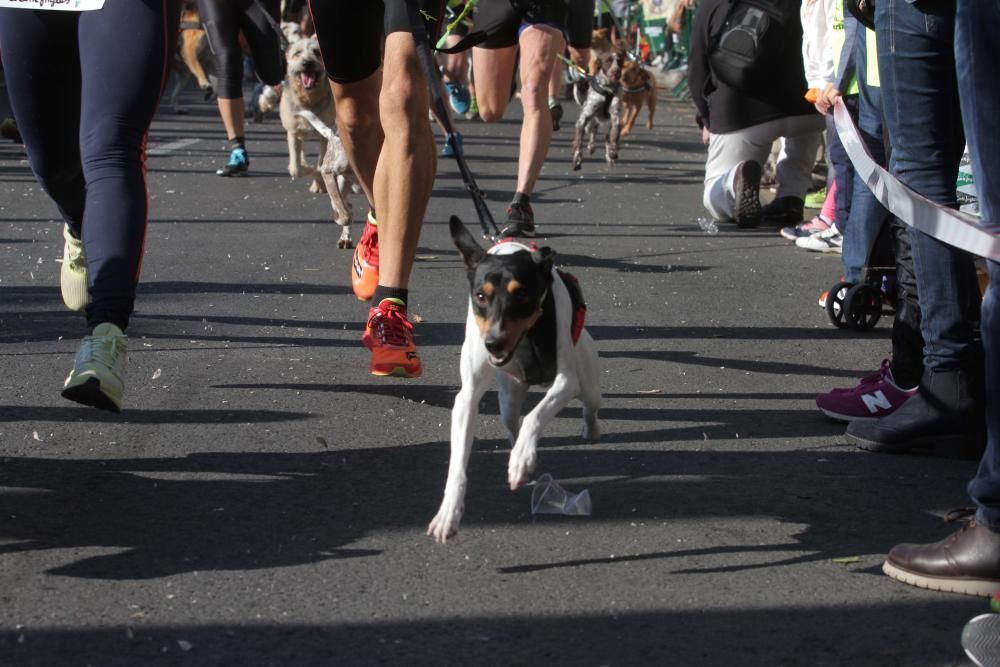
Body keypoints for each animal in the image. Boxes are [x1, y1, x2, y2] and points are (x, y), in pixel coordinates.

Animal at [428, 218, 600, 544]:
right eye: (480, 296)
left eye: (521, 295)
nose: (493, 344)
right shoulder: (466, 398)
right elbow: (457, 464)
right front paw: (448, 514)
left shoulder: (566, 380)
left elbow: (537, 414)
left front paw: (522, 458)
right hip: (508, 398)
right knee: (513, 423)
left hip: (587, 378)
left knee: (590, 405)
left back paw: (585, 431)